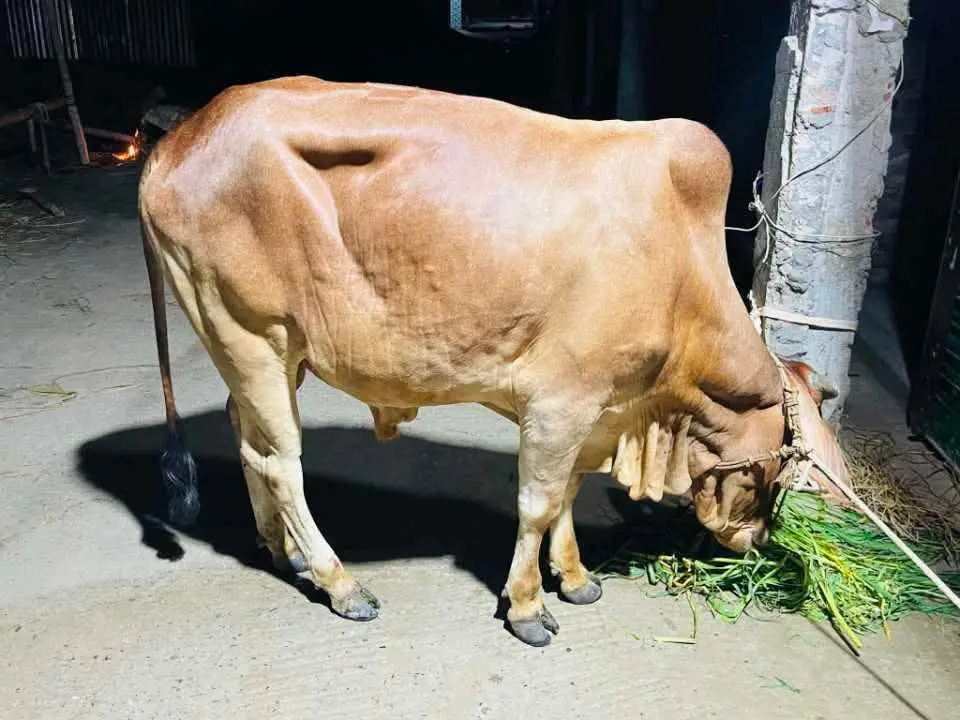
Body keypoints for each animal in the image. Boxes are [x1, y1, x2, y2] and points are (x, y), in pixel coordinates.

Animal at [137, 77, 848, 647]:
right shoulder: (560, 402)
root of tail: (181, 136)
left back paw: (280, 548)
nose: (755, 542)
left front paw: (574, 576)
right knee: (280, 463)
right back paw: (339, 582)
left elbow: (567, 494)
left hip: (271, 354)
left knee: (244, 434)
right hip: (250, 335)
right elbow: (537, 502)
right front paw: (528, 605)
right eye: (786, 472)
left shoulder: (596, 411)